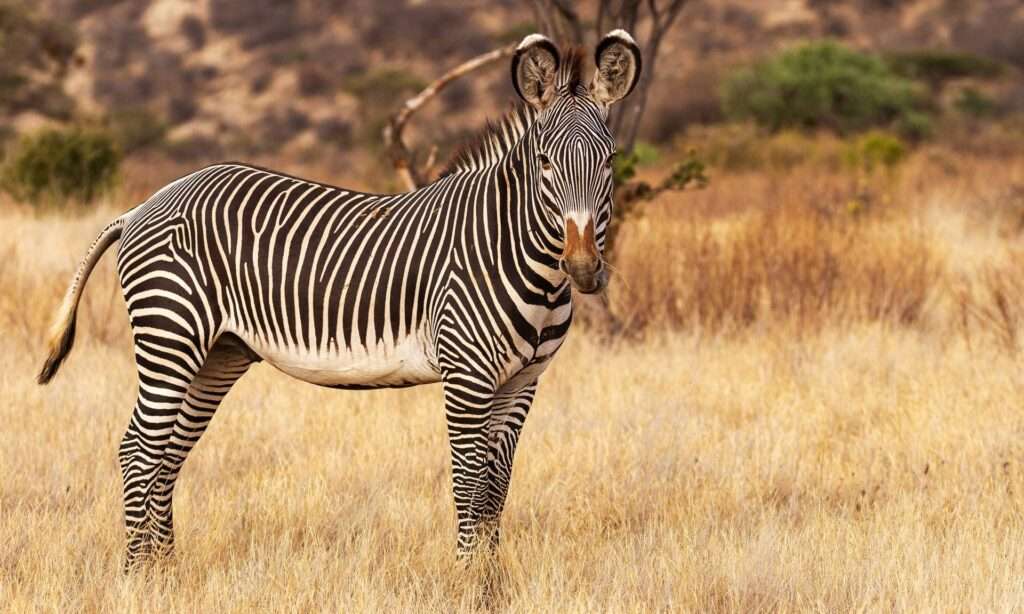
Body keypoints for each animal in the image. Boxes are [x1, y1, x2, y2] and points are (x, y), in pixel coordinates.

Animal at [37, 30, 642, 567]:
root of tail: (145, 204)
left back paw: (167, 574)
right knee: (138, 450)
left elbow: (496, 490)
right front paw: (468, 581)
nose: (583, 269)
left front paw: (492, 583)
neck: (517, 254)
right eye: (545, 163)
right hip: (171, 334)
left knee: (167, 454)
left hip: (217, 353)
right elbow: (470, 488)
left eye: (610, 161)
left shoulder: (522, 384)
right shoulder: (467, 376)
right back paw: (136, 575)